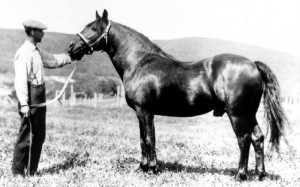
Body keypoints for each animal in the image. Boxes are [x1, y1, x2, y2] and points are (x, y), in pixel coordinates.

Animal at [69, 9, 288, 180]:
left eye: (93, 28)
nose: (71, 47)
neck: (139, 62)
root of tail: (253, 64)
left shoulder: (144, 111)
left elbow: (148, 139)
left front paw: (152, 169)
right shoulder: (142, 113)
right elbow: (143, 139)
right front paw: (143, 167)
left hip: (238, 114)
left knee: (244, 139)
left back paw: (240, 174)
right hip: (249, 114)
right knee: (258, 138)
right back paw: (260, 174)